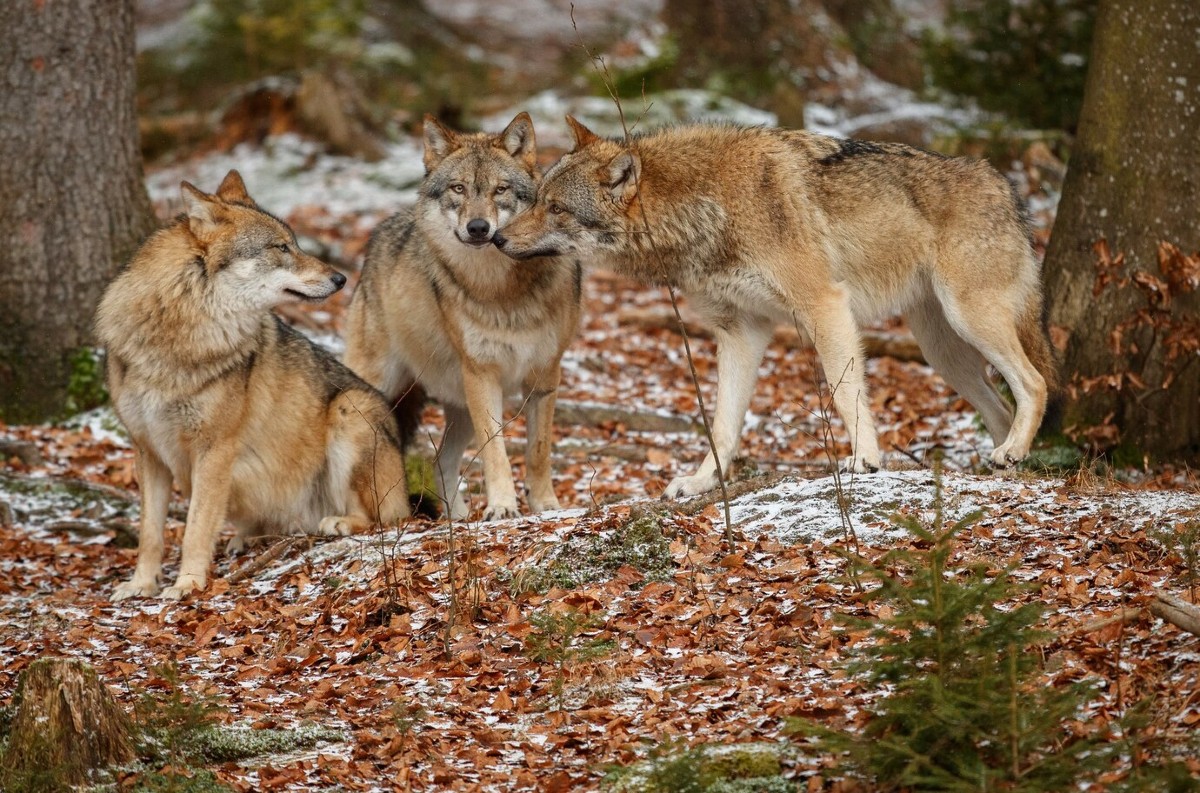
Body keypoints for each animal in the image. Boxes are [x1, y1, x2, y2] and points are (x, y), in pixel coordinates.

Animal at [98, 170, 408, 597]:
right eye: (281, 247)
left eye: (295, 243)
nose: (341, 278)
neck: (179, 335)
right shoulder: (148, 451)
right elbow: (150, 534)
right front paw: (141, 584)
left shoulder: (214, 450)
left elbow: (195, 529)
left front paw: (187, 585)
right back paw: (246, 538)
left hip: (350, 409)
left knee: (382, 518)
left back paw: (338, 521)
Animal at [343, 111, 580, 520]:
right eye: (458, 189)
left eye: (500, 190)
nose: (479, 228)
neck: (500, 290)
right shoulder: (482, 375)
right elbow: (496, 452)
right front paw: (502, 506)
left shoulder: (545, 375)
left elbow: (539, 452)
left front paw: (546, 505)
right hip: (377, 390)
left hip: (459, 406)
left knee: (441, 460)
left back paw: (456, 518)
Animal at [492, 117, 1056, 494]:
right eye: (535, 197)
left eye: (556, 208)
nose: (495, 237)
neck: (707, 206)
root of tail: (1006, 187)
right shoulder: (741, 331)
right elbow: (723, 425)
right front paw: (701, 483)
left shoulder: (824, 306)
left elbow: (845, 393)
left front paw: (865, 459)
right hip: (943, 352)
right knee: (1002, 406)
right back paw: (1004, 463)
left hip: (969, 321)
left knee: (1036, 384)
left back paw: (1012, 451)